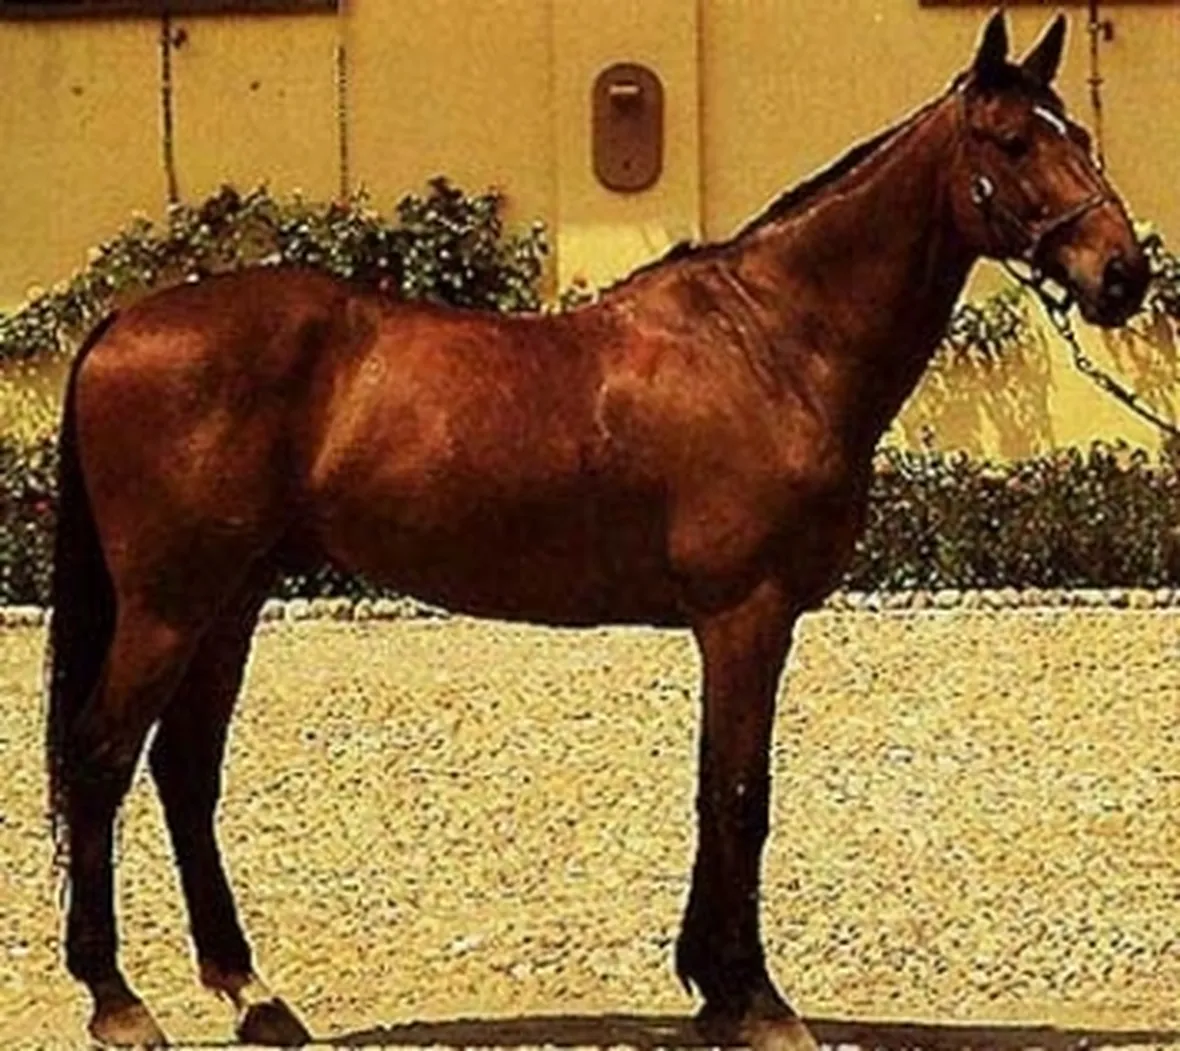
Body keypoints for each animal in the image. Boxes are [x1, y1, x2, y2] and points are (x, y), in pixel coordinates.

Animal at [46, 12, 1148, 1048]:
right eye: (1011, 140)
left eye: (1080, 132)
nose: (1123, 274)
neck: (772, 342)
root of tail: (123, 322)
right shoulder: (746, 616)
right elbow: (738, 795)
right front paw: (755, 998)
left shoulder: (737, 624)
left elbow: (715, 792)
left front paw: (712, 988)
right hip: (170, 604)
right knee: (102, 758)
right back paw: (118, 1000)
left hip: (229, 600)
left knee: (184, 770)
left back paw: (253, 995)